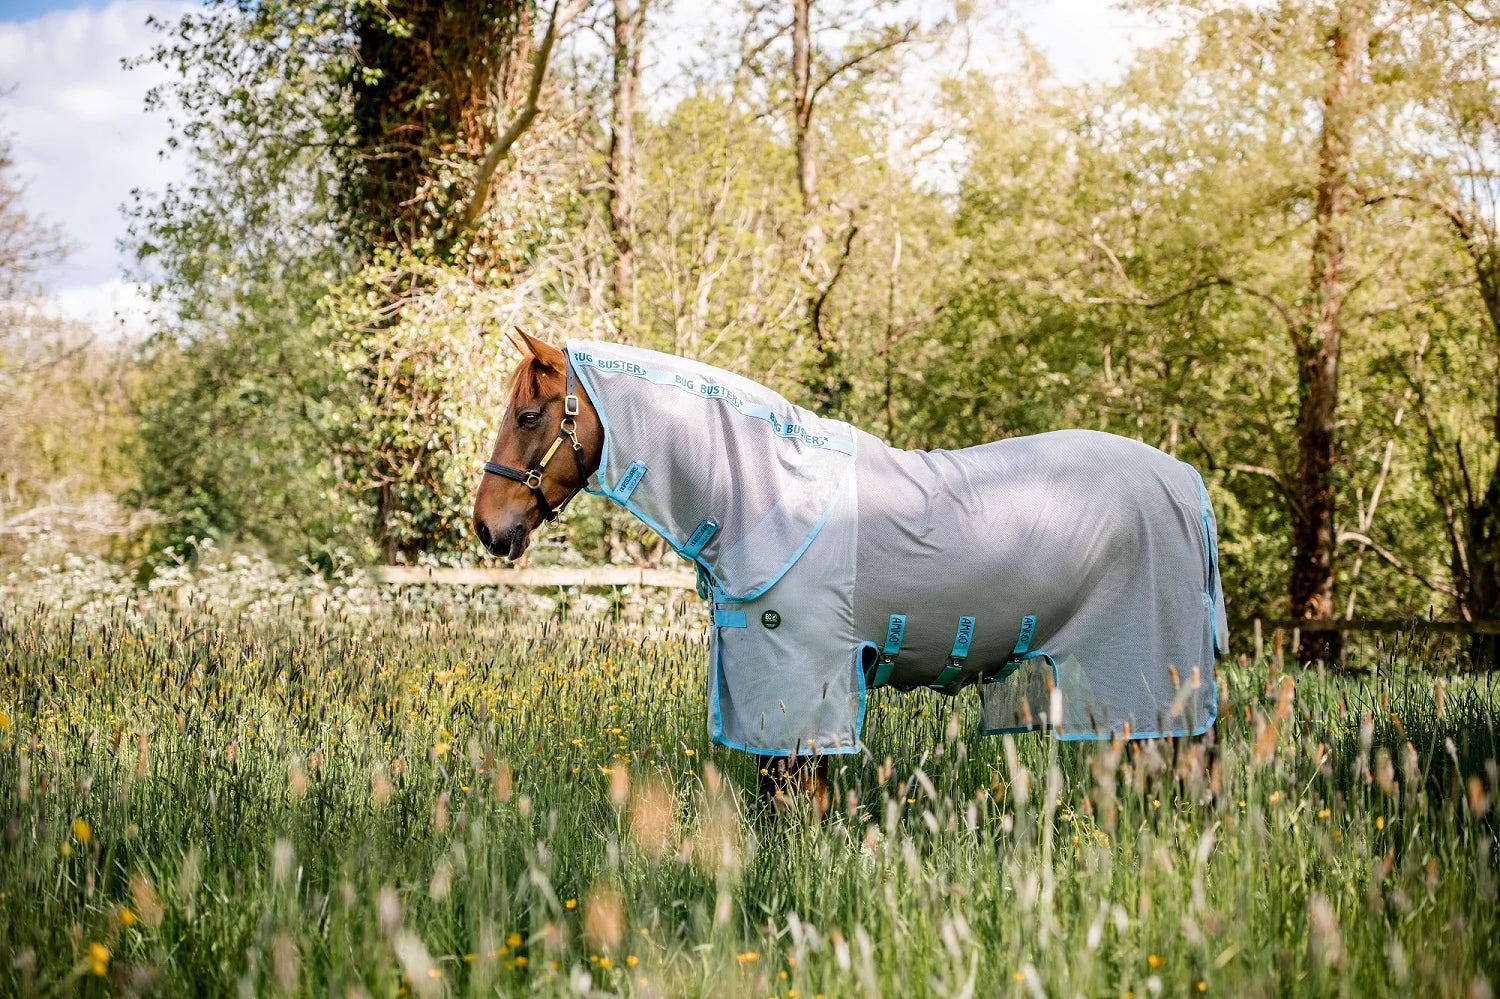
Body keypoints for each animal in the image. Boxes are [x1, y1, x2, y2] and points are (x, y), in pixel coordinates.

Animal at [474, 331, 1227, 811]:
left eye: (530, 415)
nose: (487, 525)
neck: (768, 491)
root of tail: (1186, 480)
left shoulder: (802, 685)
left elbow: (794, 799)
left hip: (1145, 677)